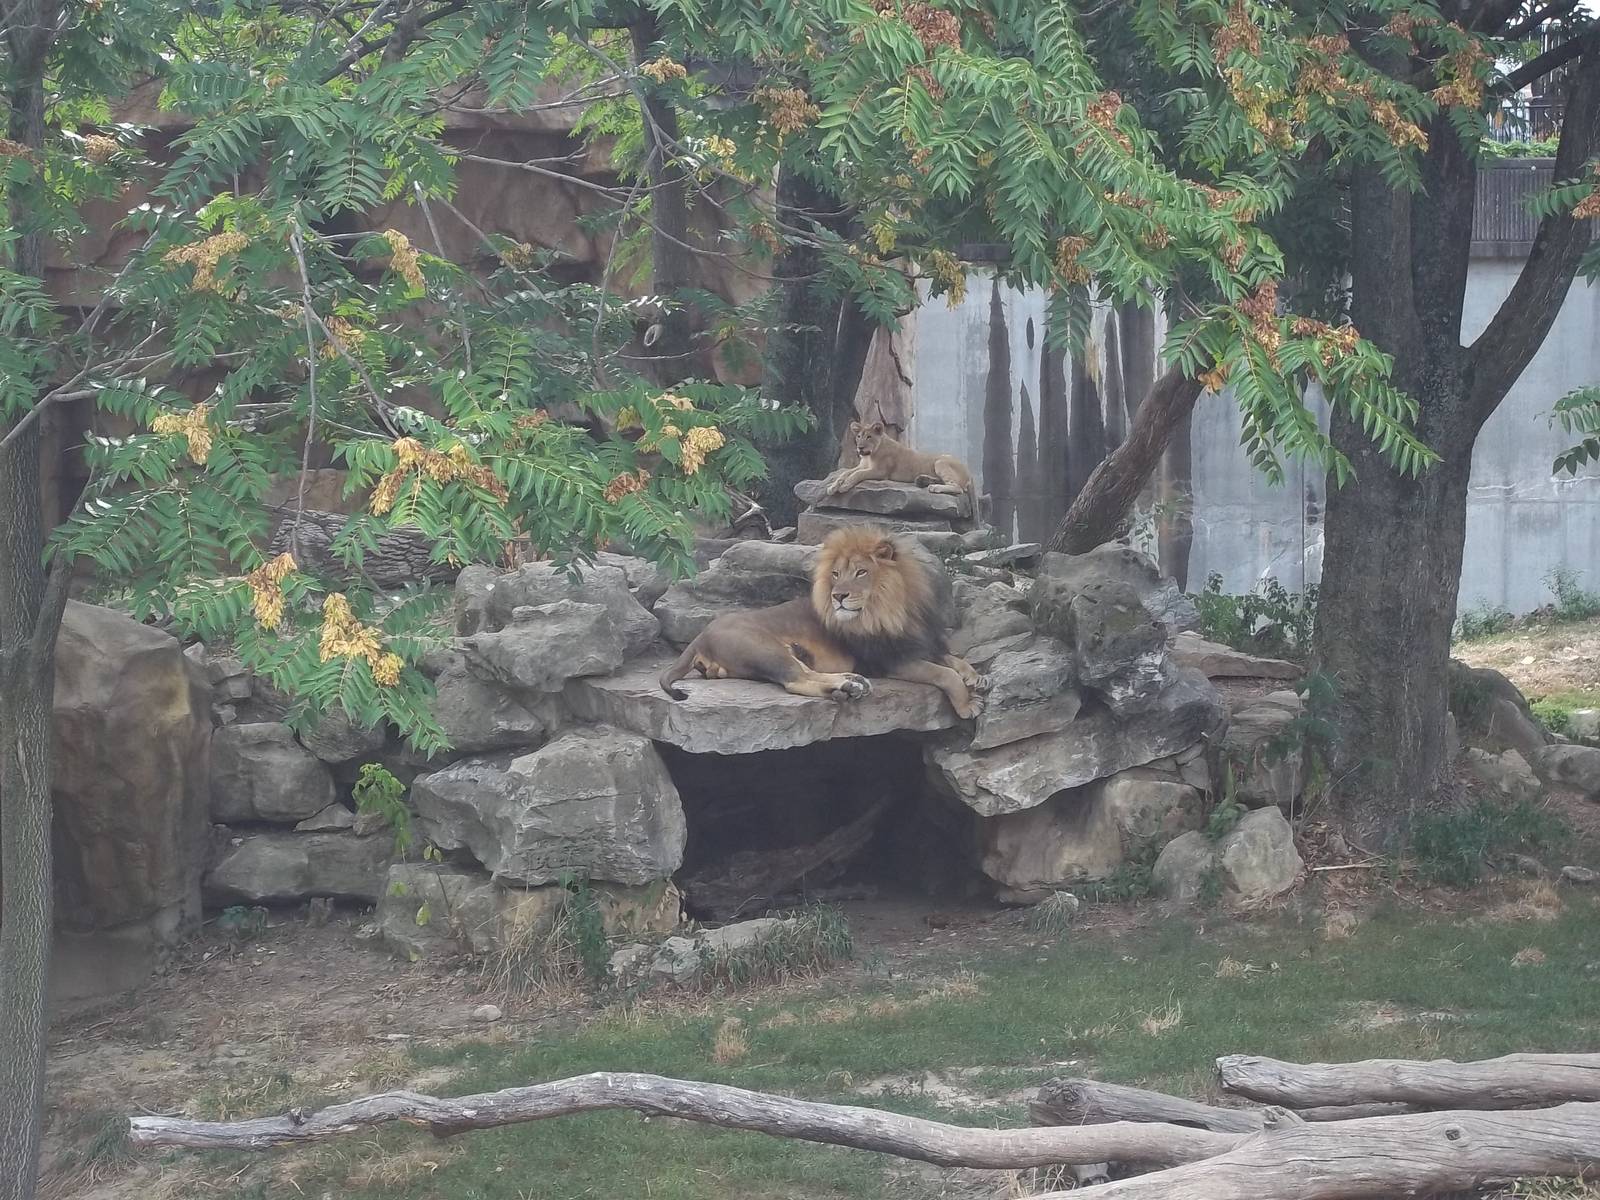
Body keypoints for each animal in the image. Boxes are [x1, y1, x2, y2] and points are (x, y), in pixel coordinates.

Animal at [658, 526, 984, 718]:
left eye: (861, 572)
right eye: (836, 574)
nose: (837, 596)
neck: (892, 608)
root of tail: (700, 636)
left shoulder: (921, 643)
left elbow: (953, 659)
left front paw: (975, 676)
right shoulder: (892, 661)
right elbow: (944, 674)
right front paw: (967, 704)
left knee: (807, 672)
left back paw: (851, 683)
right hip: (764, 648)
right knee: (795, 680)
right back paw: (848, 687)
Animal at [823, 422, 979, 520]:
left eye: (869, 436)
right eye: (859, 436)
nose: (860, 448)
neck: (869, 455)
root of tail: (970, 471)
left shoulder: (880, 471)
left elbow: (857, 474)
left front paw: (844, 486)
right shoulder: (862, 466)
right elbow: (845, 472)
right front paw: (832, 487)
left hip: (940, 461)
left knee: (958, 488)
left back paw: (934, 487)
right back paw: (923, 480)